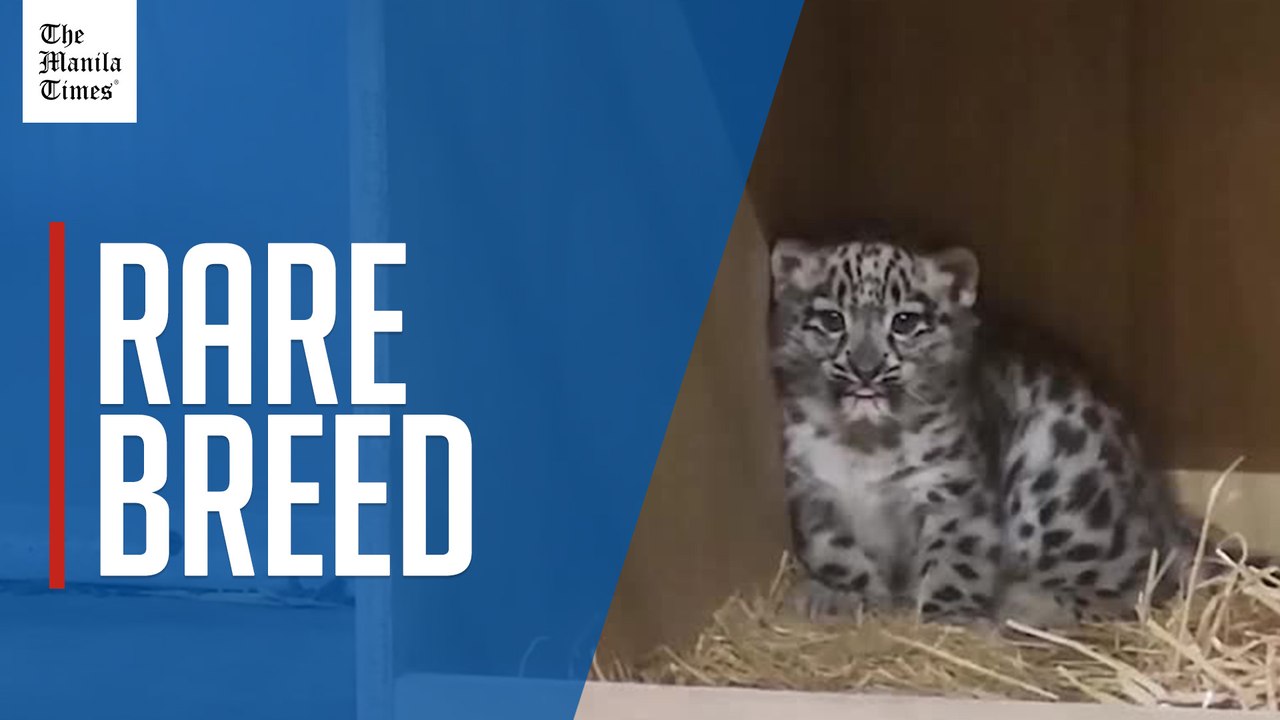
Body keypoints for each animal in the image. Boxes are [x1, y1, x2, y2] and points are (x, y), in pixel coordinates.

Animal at [770, 224, 1202, 628]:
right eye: (831, 319)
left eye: (905, 321)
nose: (866, 369)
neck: (866, 445)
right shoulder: (812, 494)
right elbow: (838, 554)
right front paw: (849, 597)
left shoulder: (952, 492)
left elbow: (954, 561)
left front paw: (947, 618)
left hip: (1057, 489)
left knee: (1126, 583)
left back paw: (1025, 608)